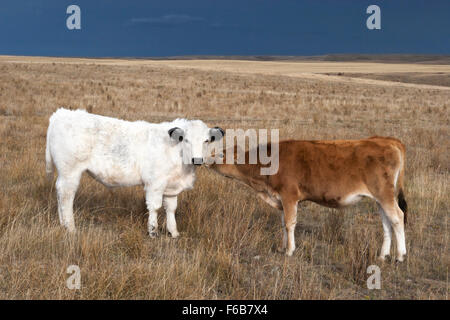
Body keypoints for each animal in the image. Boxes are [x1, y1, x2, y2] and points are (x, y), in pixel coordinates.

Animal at [44, 107, 224, 235]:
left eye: (206, 141)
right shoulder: (155, 184)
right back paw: (70, 227)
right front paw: (153, 231)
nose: (197, 160)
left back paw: (63, 224)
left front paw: (174, 232)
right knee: (66, 196)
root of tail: (61, 113)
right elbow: (155, 207)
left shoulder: (171, 187)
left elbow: (171, 208)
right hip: (70, 171)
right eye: (186, 140)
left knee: (60, 193)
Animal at [209, 136, 410, 262]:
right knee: (387, 223)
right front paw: (282, 247)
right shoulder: (281, 201)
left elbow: (290, 223)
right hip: (379, 199)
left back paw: (400, 255)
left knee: (397, 218)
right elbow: (283, 223)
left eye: (221, 154)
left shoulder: (289, 196)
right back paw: (382, 255)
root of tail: (386, 140)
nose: (207, 160)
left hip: (385, 195)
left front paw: (290, 250)